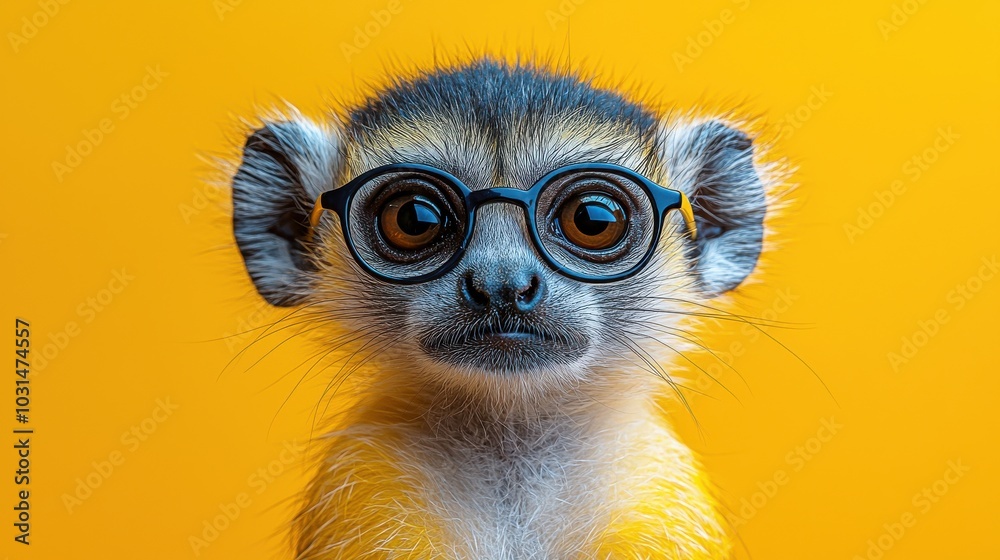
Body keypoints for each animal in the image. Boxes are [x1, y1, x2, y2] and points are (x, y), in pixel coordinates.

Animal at [227, 57, 777, 559]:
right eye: (414, 219)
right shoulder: (366, 484)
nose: (502, 286)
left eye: (592, 219)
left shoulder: (659, 500)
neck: (510, 446)